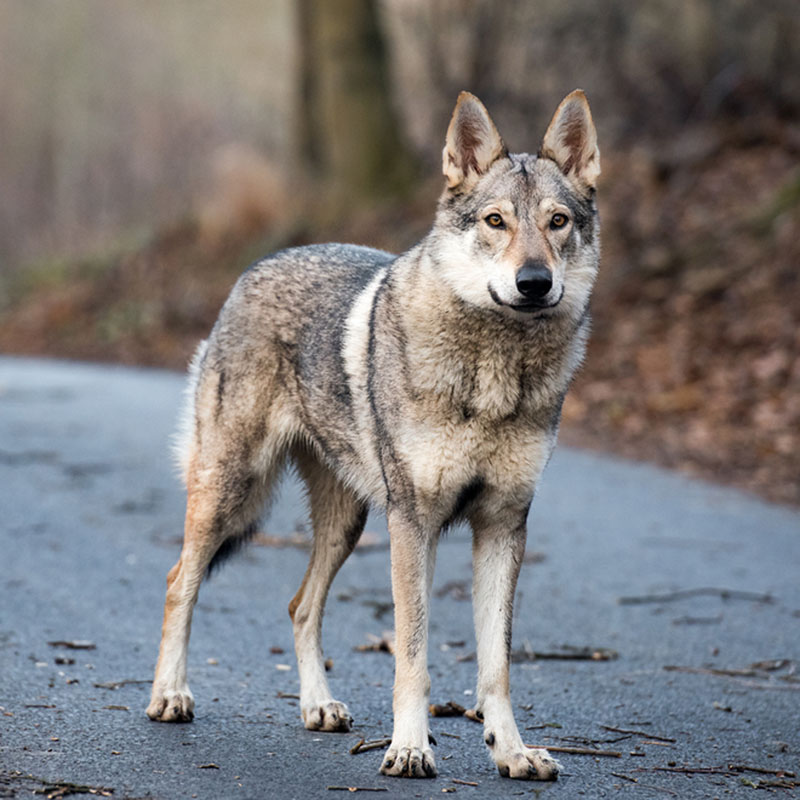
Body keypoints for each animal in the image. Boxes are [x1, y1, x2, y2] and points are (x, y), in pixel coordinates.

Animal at [148, 89, 600, 780]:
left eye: (557, 222)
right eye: (496, 221)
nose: (534, 282)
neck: (495, 371)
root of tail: (256, 267)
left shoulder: (503, 526)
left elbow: (495, 666)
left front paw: (513, 752)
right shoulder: (413, 523)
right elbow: (412, 652)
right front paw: (410, 748)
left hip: (347, 523)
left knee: (300, 606)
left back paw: (319, 707)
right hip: (231, 492)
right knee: (179, 582)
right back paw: (170, 695)